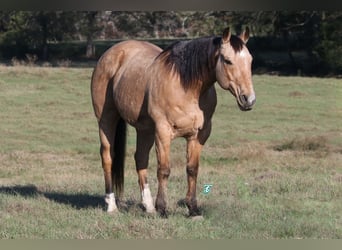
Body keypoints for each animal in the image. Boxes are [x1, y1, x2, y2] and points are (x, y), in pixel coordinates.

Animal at [91, 27, 256, 218]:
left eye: (250, 60)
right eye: (228, 61)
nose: (249, 99)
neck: (187, 88)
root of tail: (112, 52)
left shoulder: (198, 135)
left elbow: (192, 169)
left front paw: (193, 209)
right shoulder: (163, 132)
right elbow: (164, 170)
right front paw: (163, 209)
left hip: (145, 129)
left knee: (141, 158)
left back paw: (148, 206)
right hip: (106, 119)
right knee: (107, 157)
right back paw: (112, 206)